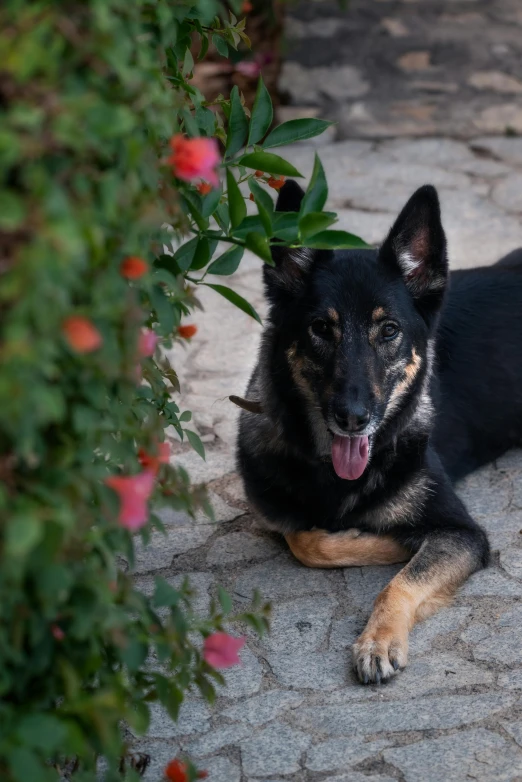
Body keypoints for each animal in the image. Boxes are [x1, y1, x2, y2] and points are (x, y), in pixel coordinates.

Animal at [234, 181, 520, 684]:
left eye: (388, 330)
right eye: (320, 328)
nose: (352, 417)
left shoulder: (461, 533)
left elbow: (400, 581)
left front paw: (379, 638)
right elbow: (303, 539)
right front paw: (376, 540)